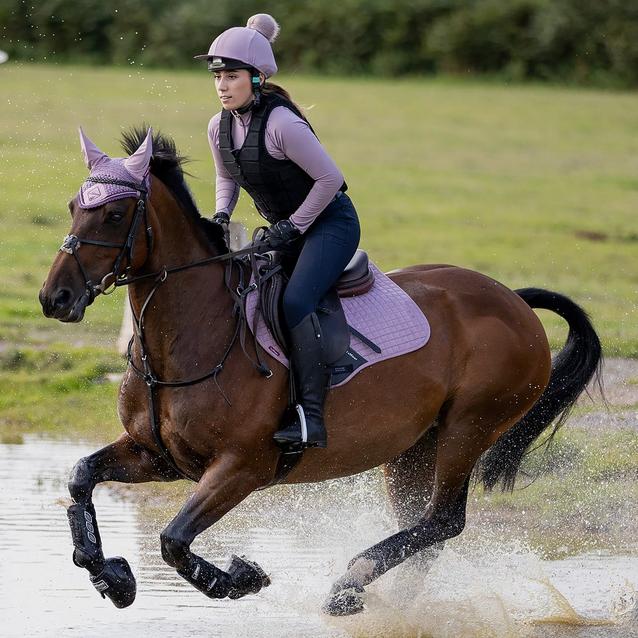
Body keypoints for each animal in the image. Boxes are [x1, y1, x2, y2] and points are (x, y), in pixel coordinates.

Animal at [37, 129, 604, 616]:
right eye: (73, 207)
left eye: (114, 215)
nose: (54, 298)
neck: (191, 335)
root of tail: (515, 301)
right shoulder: (159, 455)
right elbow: (81, 477)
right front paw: (112, 577)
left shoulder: (241, 467)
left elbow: (174, 541)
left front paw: (242, 577)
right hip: (413, 449)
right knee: (425, 528)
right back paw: (385, 601)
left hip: (470, 427)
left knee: (443, 519)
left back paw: (349, 585)